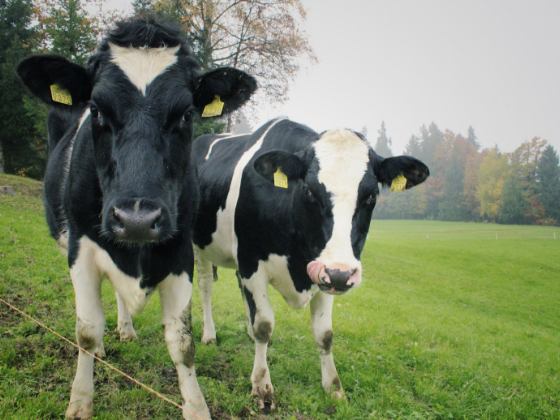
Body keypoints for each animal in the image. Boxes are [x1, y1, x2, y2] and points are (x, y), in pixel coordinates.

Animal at [15, 18, 256, 418]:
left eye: (186, 114)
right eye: (97, 110)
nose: (137, 220)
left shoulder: (180, 251)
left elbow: (182, 341)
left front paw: (196, 406)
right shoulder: (81, 248)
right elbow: (86, 330)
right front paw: (80, 402)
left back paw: (126, 329)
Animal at [189, 118, 428, 410]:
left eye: (371, 196)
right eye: (310, 190)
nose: (342, 274)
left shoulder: (326, 275)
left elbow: (324, 334)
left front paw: (334, 387)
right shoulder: (251, 262)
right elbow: (264, 324)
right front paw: (262, 386)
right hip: (198, 245)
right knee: (206, 287)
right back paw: (209, 334)